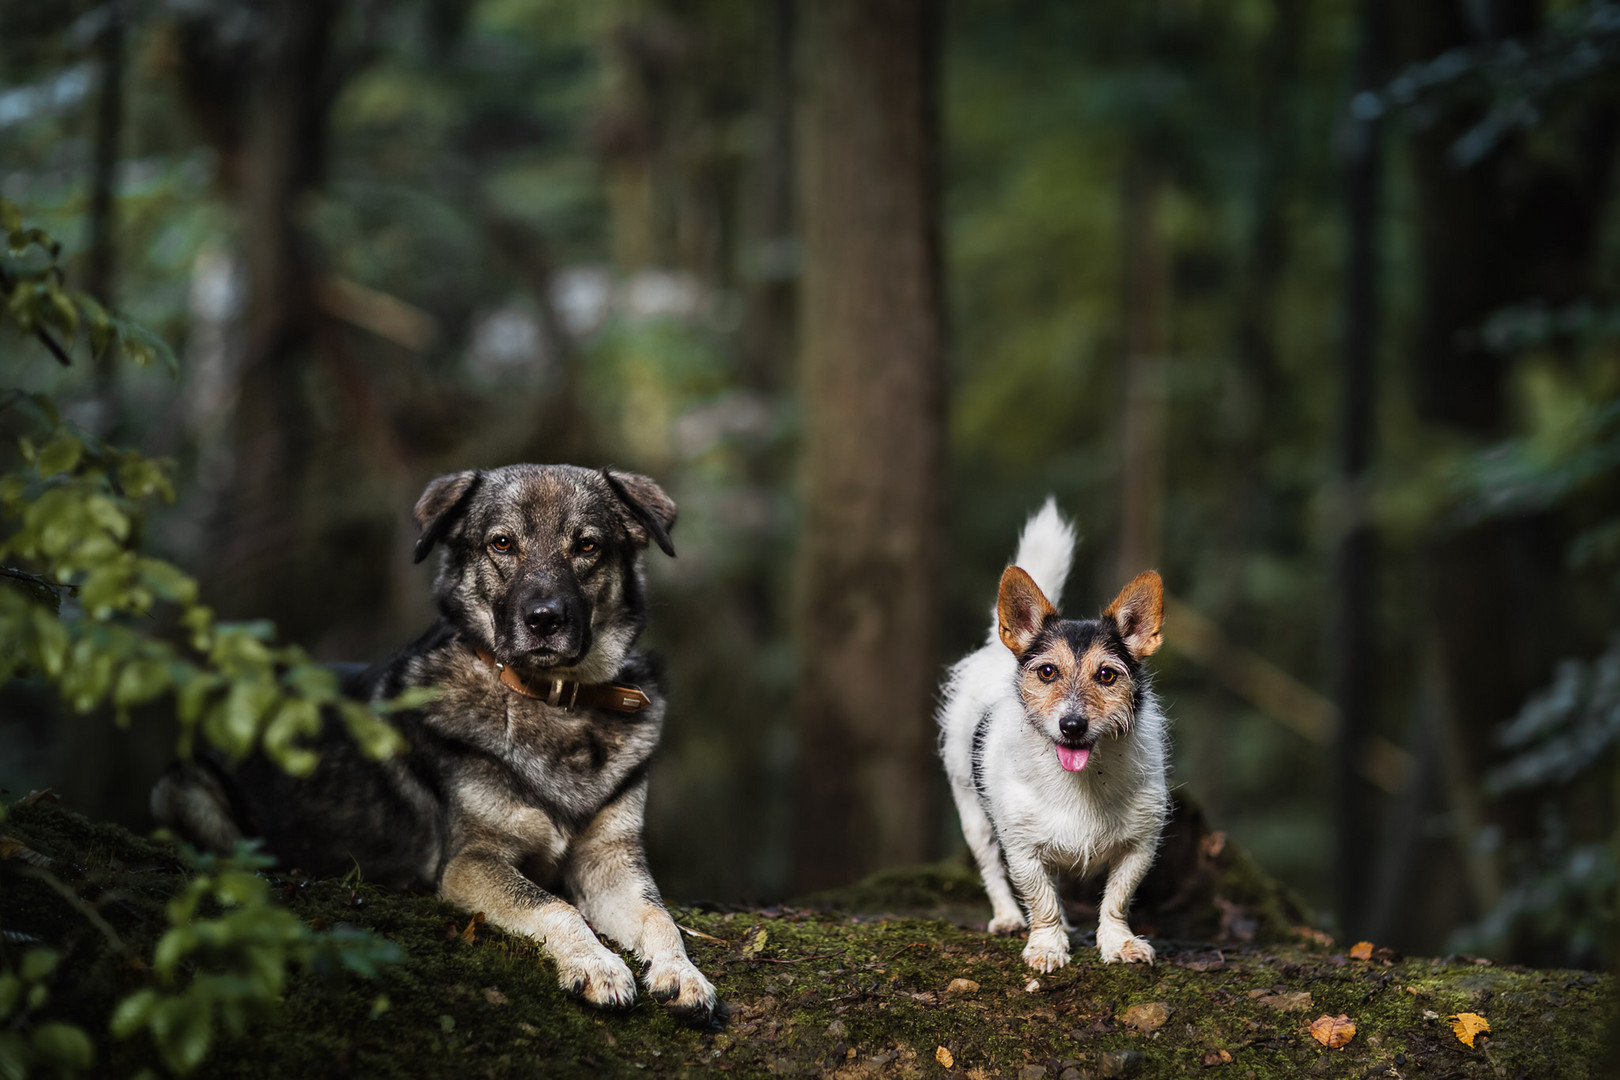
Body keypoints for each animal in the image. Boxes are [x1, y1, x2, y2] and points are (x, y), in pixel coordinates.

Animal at [156, 466, 716, 1023]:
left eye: (587, 546)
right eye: (502, 543)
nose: (544, 619)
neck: (553, 701)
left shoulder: (610, 862)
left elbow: (659, 916)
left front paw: (683, 974)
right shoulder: (470, 862)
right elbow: (553, 904)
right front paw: (596, 965)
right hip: (185, 790)